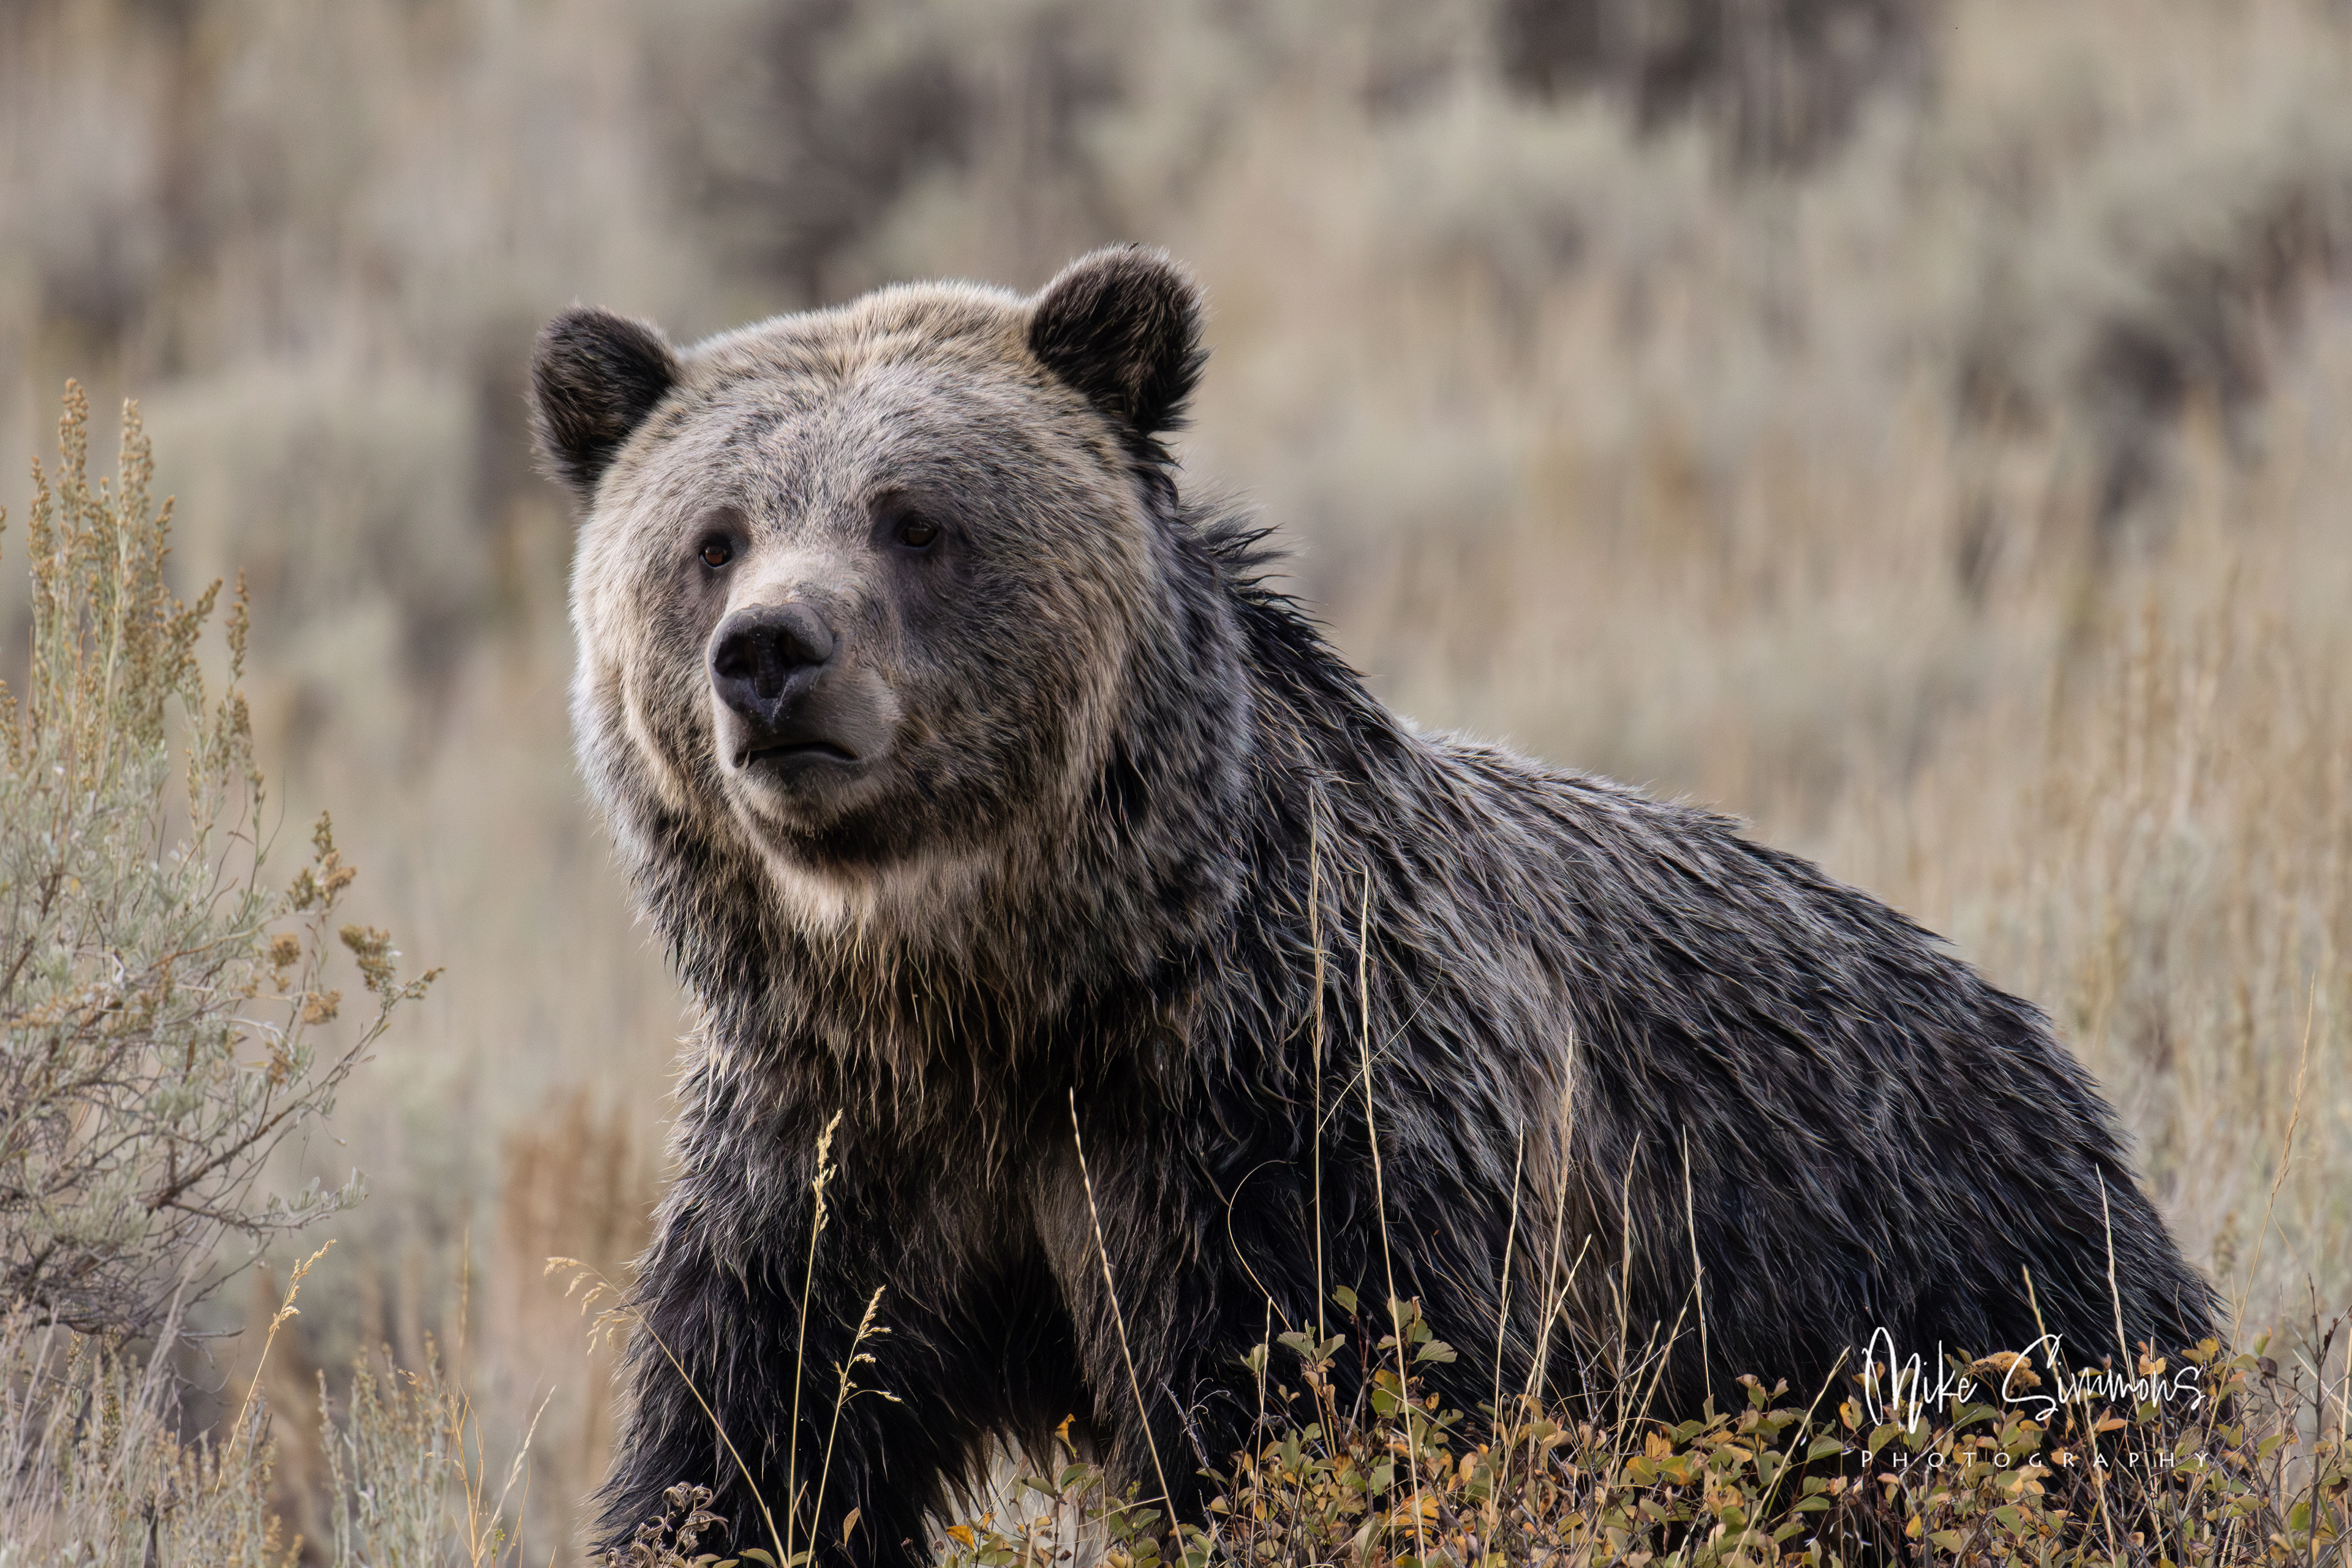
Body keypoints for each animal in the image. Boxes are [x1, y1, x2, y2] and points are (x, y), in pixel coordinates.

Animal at [530, 246, 2215, 1566]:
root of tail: (2035, 1044)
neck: (1011, 995)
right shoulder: (830, 1160)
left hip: (1961, 1303)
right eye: (713, 537)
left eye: (913, 516)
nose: (771, 654)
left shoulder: (1293, 1130)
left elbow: (1341, 1424)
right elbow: (754, 1458)